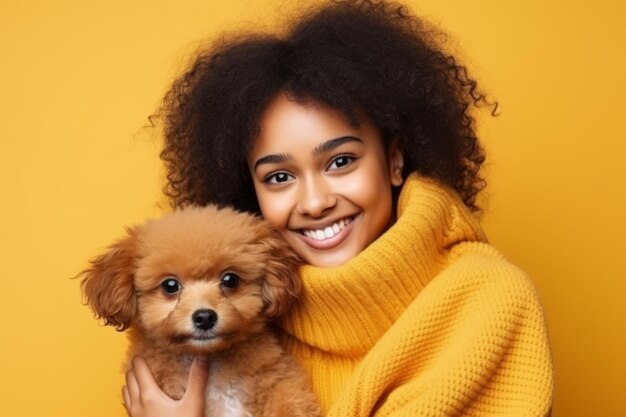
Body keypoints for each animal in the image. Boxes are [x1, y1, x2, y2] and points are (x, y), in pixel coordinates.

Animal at [80, 206, 320, 416]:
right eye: (170, 285)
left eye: (230, 279)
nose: (204, 317)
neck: (211, 361)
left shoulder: (278, 376)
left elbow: (290, 401)